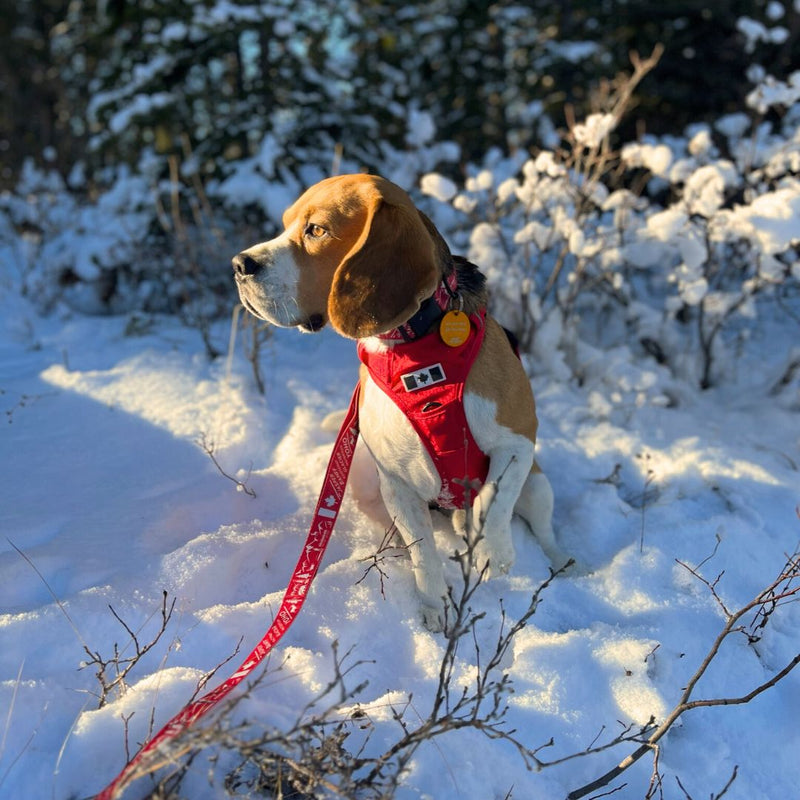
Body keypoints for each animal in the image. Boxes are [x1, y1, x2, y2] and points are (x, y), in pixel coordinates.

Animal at [233, 175, 568, 632]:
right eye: (286, 224)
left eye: (316, 230)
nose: (239, 264)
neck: (411, 349)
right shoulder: (398, 483)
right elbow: (423, 551)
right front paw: (432, 604)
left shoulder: (518, 442)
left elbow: (493, 500)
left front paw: (494, 553)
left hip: (538, 484)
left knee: (542, 529)